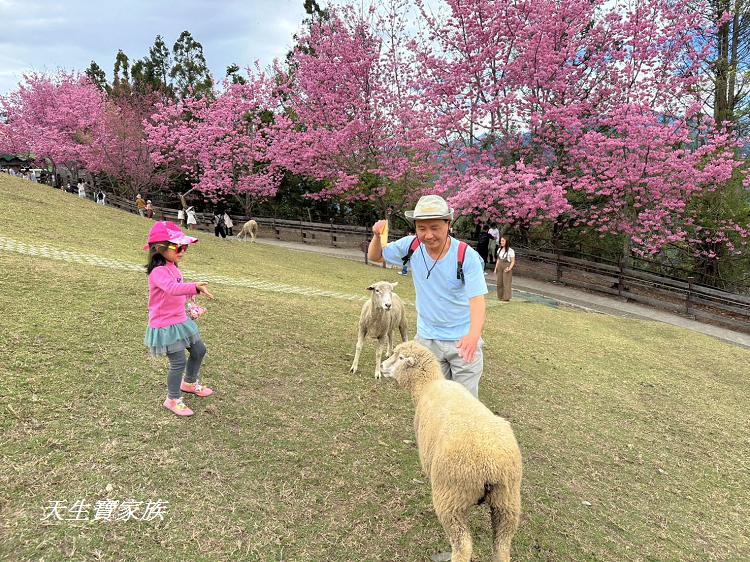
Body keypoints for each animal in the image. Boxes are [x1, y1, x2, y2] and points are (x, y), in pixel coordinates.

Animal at [382, 336, 524, 560]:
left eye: (401, 357)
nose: (381, 365)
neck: (428, 385)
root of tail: (490, 468)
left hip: (451, 499)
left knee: (463, 546)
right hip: (507, 504)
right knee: (502, 547)